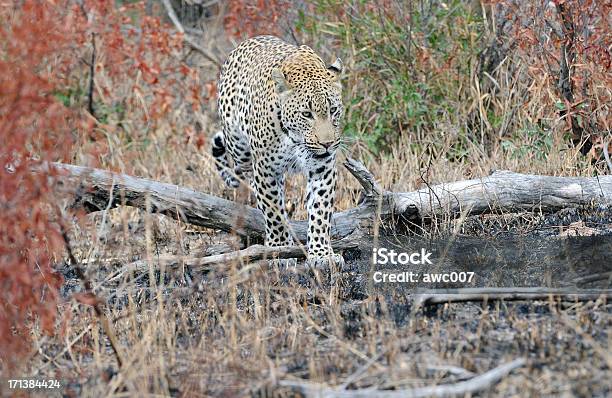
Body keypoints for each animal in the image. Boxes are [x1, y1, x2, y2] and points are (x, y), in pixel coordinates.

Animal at [210, 35, 344, 268]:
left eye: (333, 110)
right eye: (306, 114)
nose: (327, 143)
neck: (296, 140)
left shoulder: (323, 167)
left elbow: (320, 210)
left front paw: (322, 254)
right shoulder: (266, 169)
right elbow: (274, 212)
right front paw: (280, 250)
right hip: (239, 148)